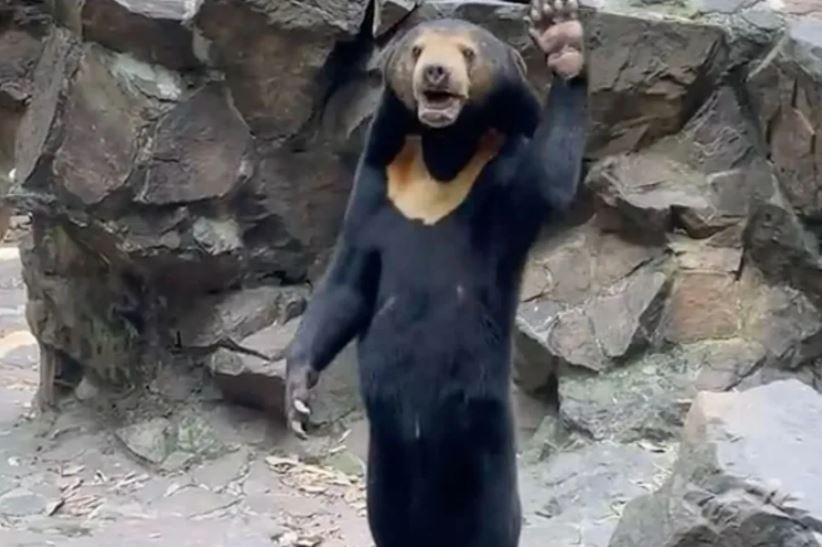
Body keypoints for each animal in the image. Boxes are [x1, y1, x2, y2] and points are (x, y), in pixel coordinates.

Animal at [284, 2, 592, 544]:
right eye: (417, 49)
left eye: (468, 53)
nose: (436, 73)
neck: (440, 155)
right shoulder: (378, 188)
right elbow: (348, 283)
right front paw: (298, 399)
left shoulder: (503, 177)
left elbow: (550, 182)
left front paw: (562, 38)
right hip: (386, 455)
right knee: (389, 515)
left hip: (484, 437)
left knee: (493, 519)